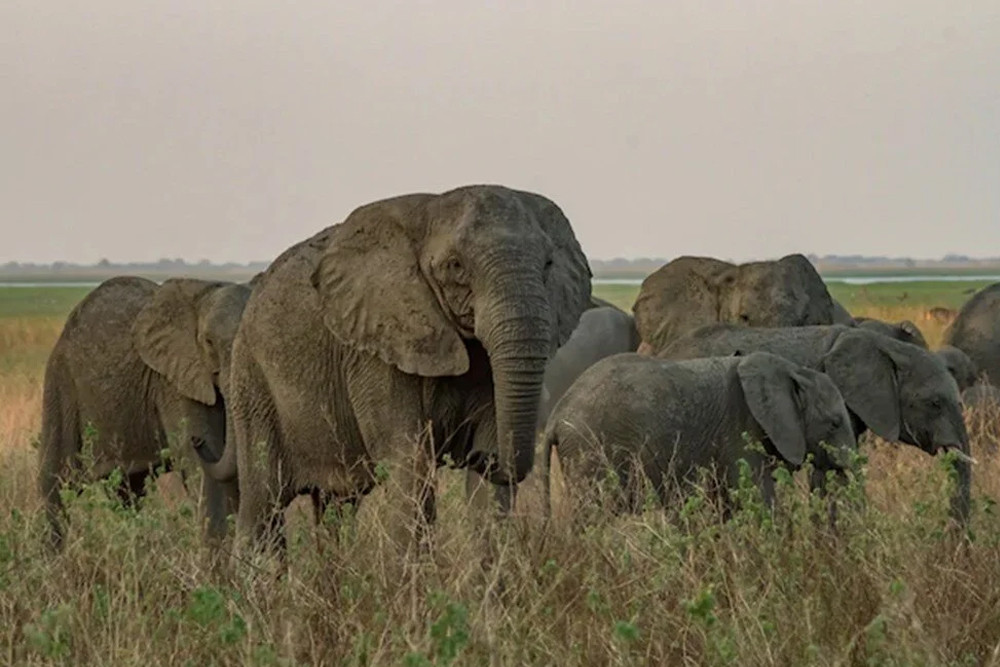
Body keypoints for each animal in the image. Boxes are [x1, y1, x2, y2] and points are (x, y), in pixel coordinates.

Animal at [38, 276, 250, 548]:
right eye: (209, 342)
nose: (197, 442)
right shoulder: (172, 380)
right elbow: (202, 459)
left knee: (127, 489)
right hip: (61, 382)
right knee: (56, 479)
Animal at [195, 185, 592, 556]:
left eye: (548, 265)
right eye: (455, 266)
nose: (479, 457)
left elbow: (486, 483)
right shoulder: (376, 346)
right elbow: (409, 462)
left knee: (338, 504)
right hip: (252, 379)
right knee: (263, 503)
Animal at [544, 352, 856, 516]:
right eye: (834, 423)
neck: (790, 370)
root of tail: (556, 415)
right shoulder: (739, 430)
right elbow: (758, 499)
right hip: (590, 446)